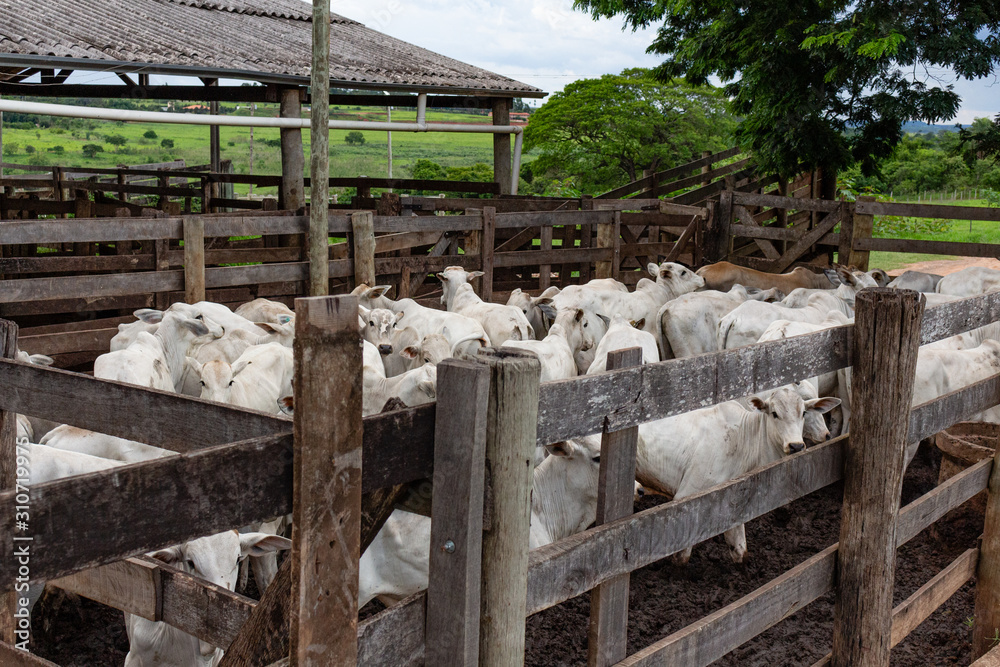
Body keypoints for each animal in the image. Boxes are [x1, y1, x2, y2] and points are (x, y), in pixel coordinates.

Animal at [636, 386, 840, 564]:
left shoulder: (733, 505)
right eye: (774, 413)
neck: (743, 440)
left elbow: (740, 550)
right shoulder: (686, 497)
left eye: (803, 413)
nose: (796, 446)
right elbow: (681, 556)